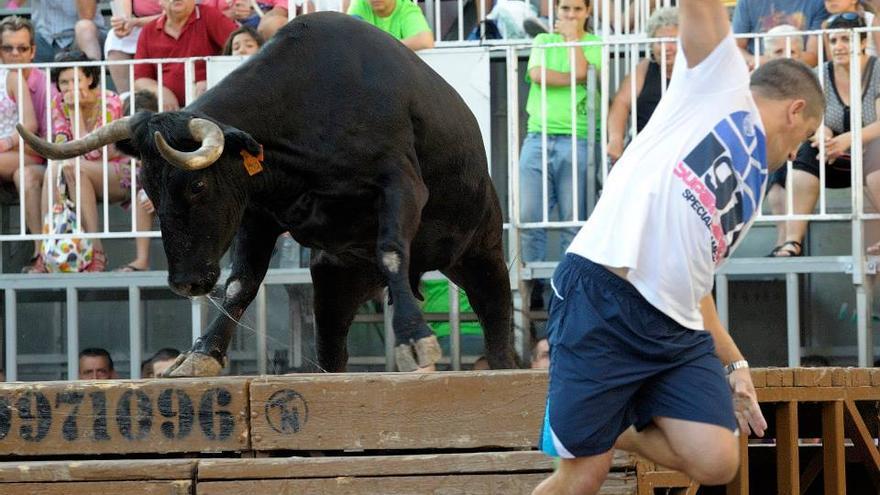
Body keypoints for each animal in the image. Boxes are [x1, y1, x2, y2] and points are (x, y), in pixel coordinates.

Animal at [20, 10, 520, 376]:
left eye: (197, 185)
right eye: (149, 190)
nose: (185, 282)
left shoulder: (400, 183)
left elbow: (393, 250)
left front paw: (416, 338)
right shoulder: (259, 216)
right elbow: (240, 283)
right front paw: (201, 354)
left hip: (482, 255)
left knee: (497, 328)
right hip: (336, 281)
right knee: (332, 350)